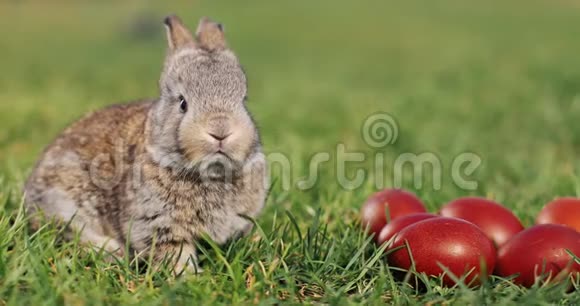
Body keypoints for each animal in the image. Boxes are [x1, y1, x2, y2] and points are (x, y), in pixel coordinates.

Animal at [22, 15, 268, 272]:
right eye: (182, 103)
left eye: (243, 100)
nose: (220, 131)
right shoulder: (158, 225)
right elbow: (175, 253)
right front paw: (188, 275)